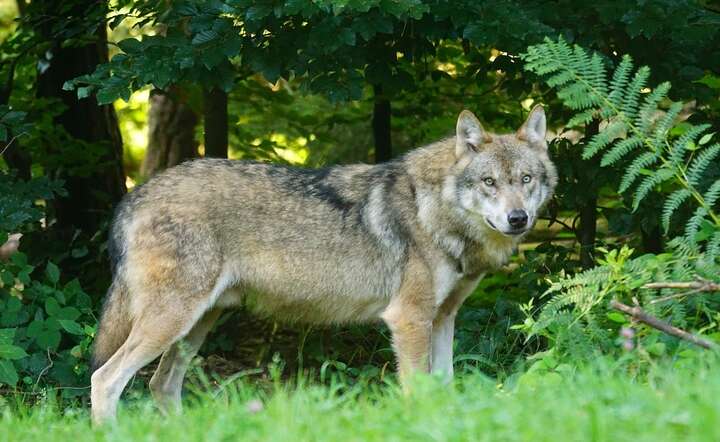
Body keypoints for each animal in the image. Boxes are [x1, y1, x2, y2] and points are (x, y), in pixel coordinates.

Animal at [90, 105, 556, 424]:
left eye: (526, 180)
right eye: (489, 182)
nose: (518, 219)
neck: (435, 210)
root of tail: (134, 195)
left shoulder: (442, 318)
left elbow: (445, 386)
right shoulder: (409, 319)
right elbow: (417, 391)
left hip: (196, 325)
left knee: (161, 385)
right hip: (172, 322)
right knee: (105, 379)